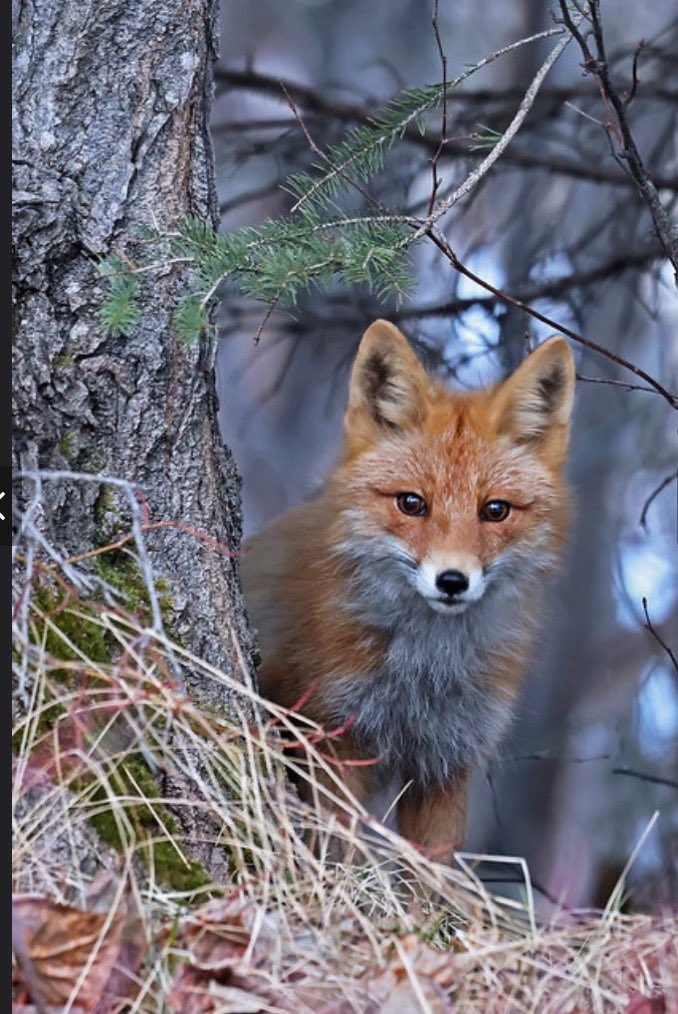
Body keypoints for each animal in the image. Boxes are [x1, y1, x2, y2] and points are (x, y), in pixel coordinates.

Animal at [242, 319, 575, 860]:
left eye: (495, 510)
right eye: (412, 503)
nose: (453, 581)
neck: (424, 673)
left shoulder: (447, 762)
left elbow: (434, 873)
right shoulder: (330, 737)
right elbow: (339, 853)